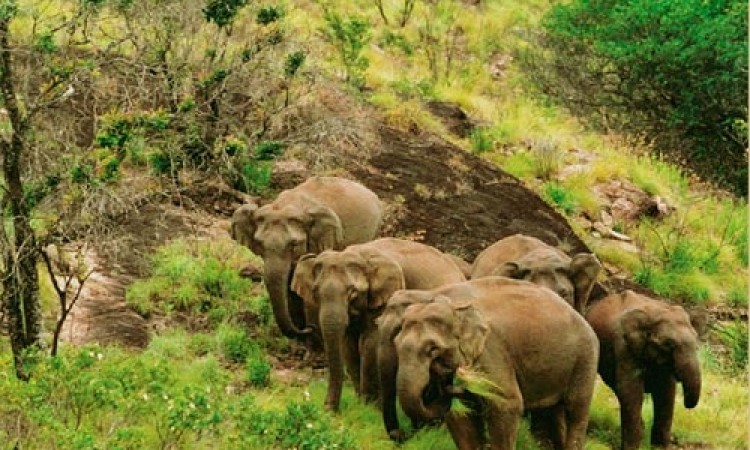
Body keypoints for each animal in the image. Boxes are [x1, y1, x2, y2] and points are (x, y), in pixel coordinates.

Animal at [290, 237, 466, 412]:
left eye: (352, 292)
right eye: (315, 292)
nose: (328, 409)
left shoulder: (386, 298)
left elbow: (369, 343)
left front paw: (370, 407)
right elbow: (348, 346)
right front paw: (361, 402)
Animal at [393, 276, 600, 450]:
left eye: (433, 349)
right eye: (396, 345)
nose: (450, 384)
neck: (453, 306)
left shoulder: (491, 351)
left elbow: (506, 404)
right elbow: (459, 415)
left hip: (585, 358)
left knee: (576, 410)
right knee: (550, 414)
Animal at [584, 290, 702, 450]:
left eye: (696, 343)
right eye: (668, 344)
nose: (688, 406)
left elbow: (666, 392)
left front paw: (659, 448)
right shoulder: (624, 347)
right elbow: (630, 390)